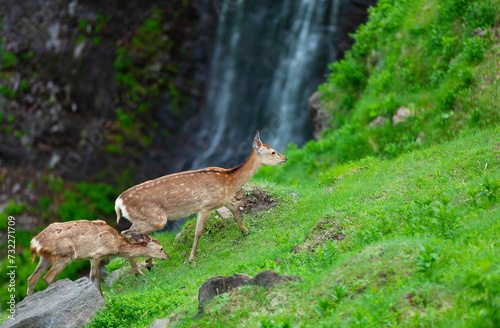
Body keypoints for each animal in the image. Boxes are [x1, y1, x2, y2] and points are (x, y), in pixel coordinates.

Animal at [27, 220, 168, 294]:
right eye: (161, 248)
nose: (167, 256)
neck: (116, 245)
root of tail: (35, 242)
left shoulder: (95, 257)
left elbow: (98, 274)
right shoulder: (97, 254)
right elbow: (93, 275)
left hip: (45, 258)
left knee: (32, 278)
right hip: (64, 255)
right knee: (48, 277)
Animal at [114, 129, 286, 266]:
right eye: (272, 151)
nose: (285, 158)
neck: (230, 182)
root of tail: (119, 202)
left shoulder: (223, 200)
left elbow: (235, 209)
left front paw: (245, 231)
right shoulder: (206, 206)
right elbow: (198, 233)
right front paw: (192, 260)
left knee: (130, 234)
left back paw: (144, 266)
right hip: (156, 219)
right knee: (124, 233)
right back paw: (143, 266)